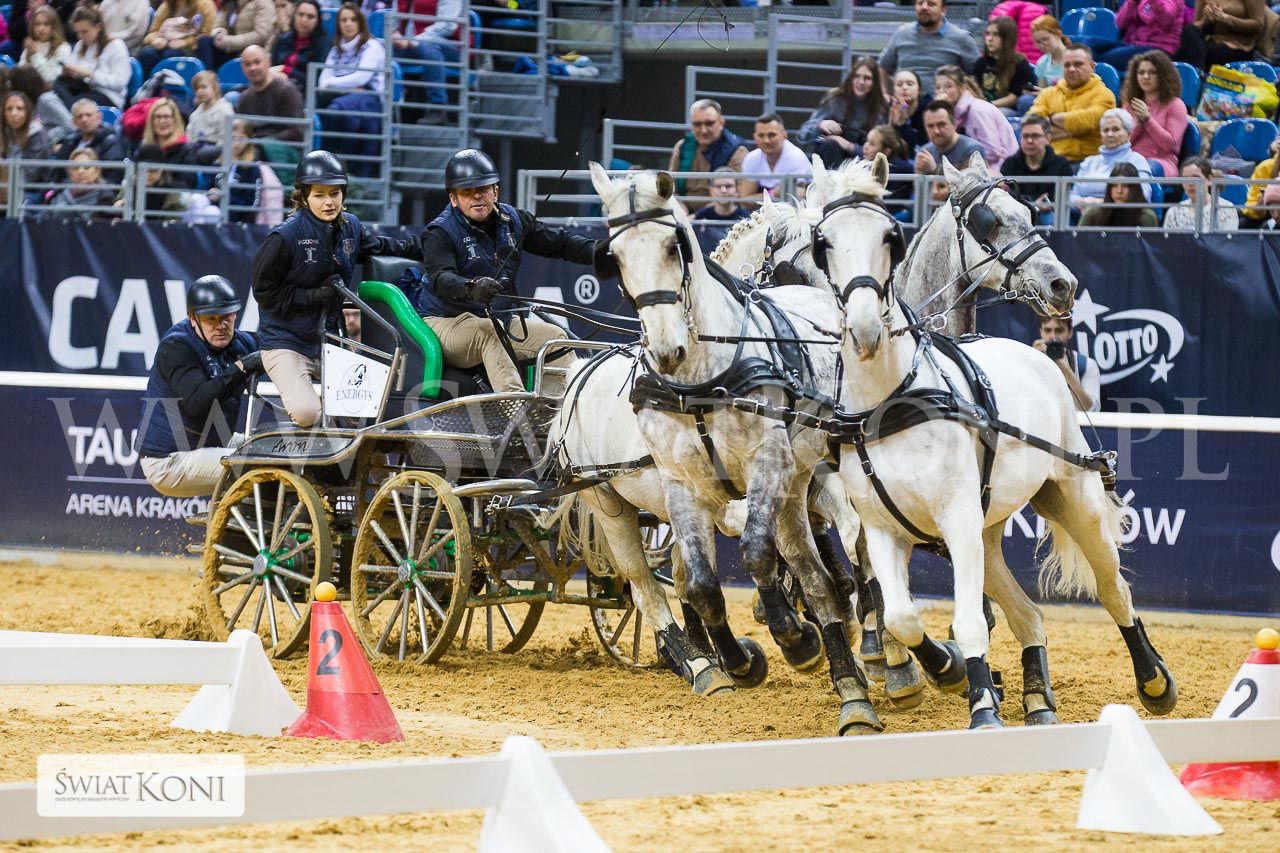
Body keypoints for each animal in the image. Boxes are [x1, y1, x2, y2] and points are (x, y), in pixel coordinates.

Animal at [587, 162, 883, 735]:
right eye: (615, 255)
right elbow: (703, 585)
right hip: (613, 502)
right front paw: (741, 659)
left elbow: (757, 552)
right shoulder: (682, 485)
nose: (667, 348)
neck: (703, 377)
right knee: (656, 583)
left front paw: (797, 638)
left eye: (674, 246)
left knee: (823, 563)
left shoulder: (772, 468)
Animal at [811, 152, 1178, 729]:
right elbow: (902, 616)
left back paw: (1154, 681)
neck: (892, 400)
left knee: (1112, 590)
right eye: (822, 242)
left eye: (891, 237)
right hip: (984, 530)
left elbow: (969, 621)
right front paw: (942, 670)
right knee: (1027, 615)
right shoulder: (883, 528)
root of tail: (1034, 356)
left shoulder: (956, 519)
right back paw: (1036, 699)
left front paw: (981, 702)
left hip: (1072, 498)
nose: (1062, 284)